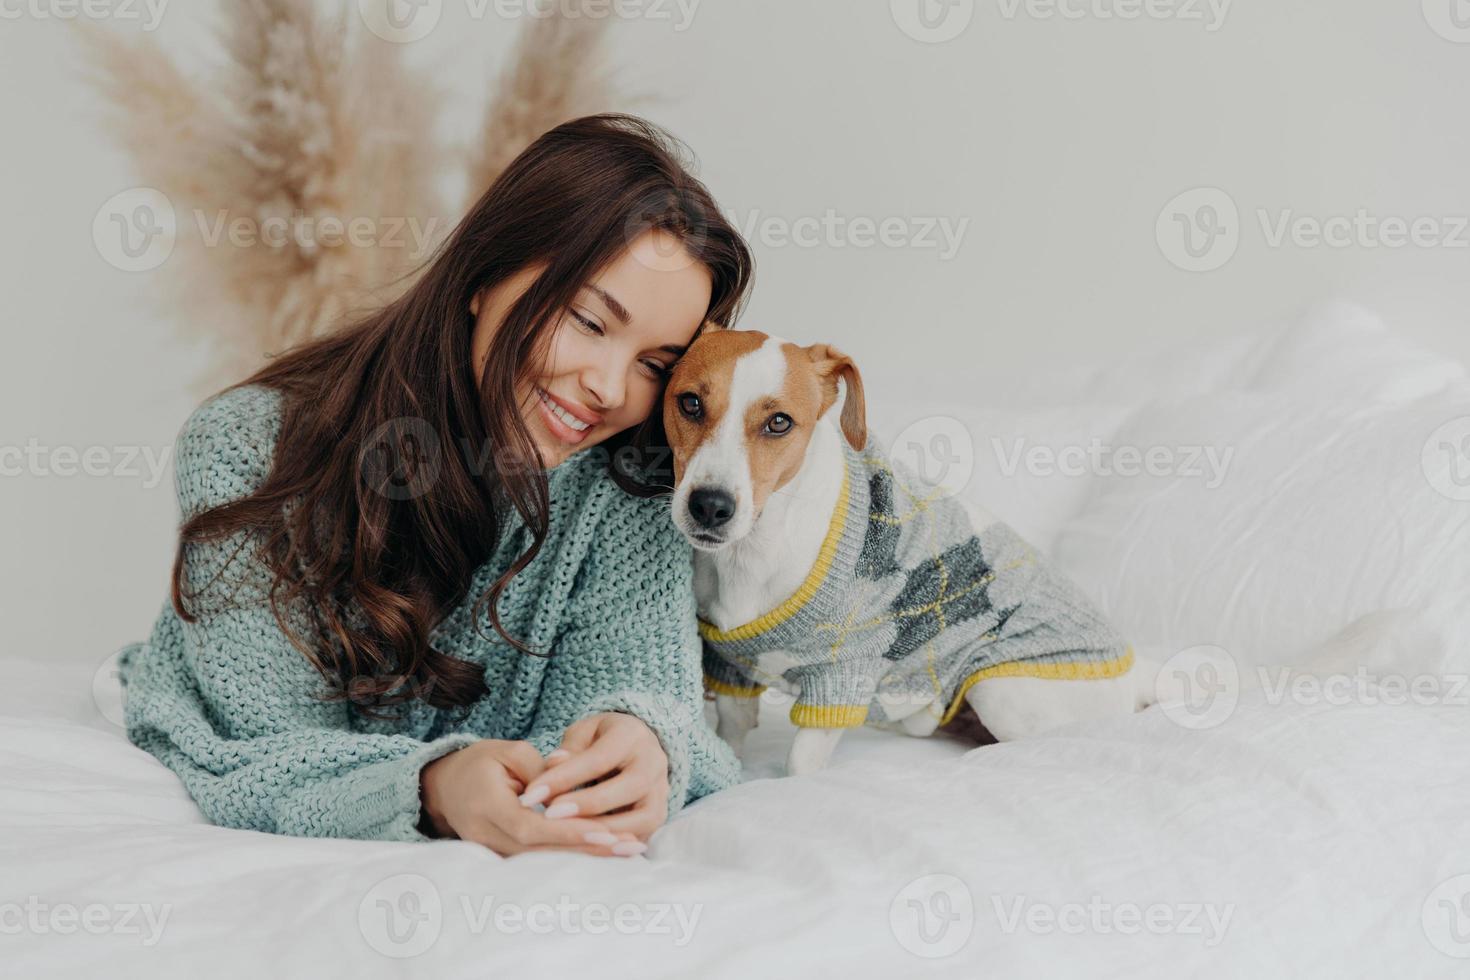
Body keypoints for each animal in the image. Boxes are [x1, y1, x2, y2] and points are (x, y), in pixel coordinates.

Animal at [661, 326, 1152, 775]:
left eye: (779, 422)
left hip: (1000, 690)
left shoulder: (844, 674)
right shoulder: (732, 666)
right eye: (690, 403)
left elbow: (802, 764)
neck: (754, 553)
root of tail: (1138, 679)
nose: (710, 506)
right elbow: (732, 735)